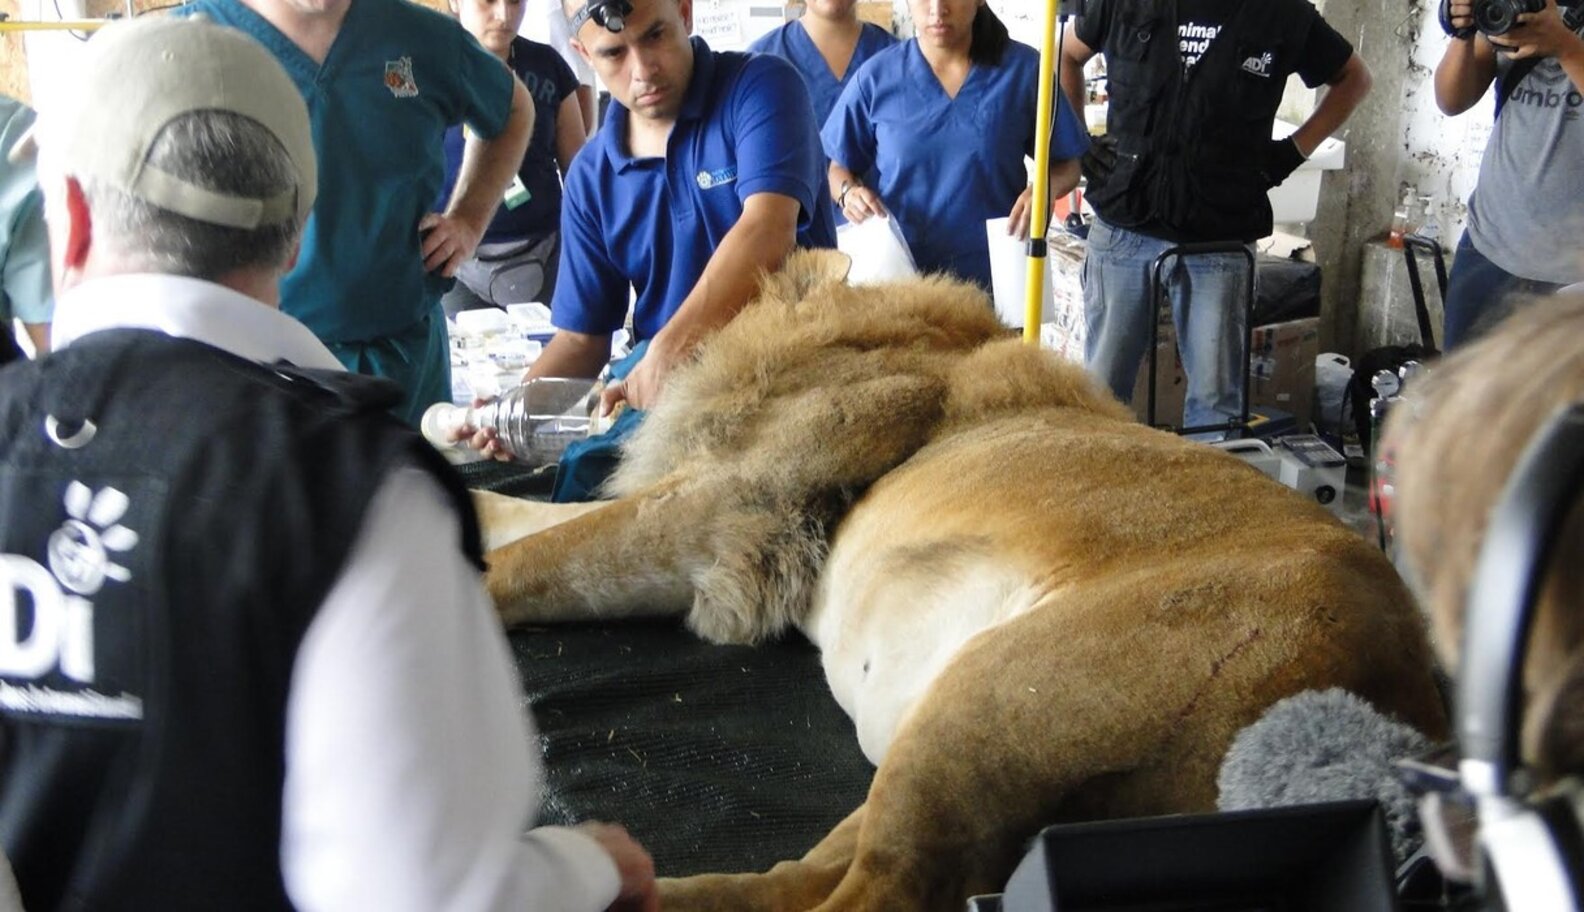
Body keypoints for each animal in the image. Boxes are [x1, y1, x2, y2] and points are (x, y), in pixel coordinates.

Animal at [476, 250, 1448, 911]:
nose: (622, 378)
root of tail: (1406, 709)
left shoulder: (730, 510)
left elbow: (540, 556)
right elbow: (529, 525)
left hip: (996, 703)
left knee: (877, 894)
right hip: (943, 738)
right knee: (805, 877)